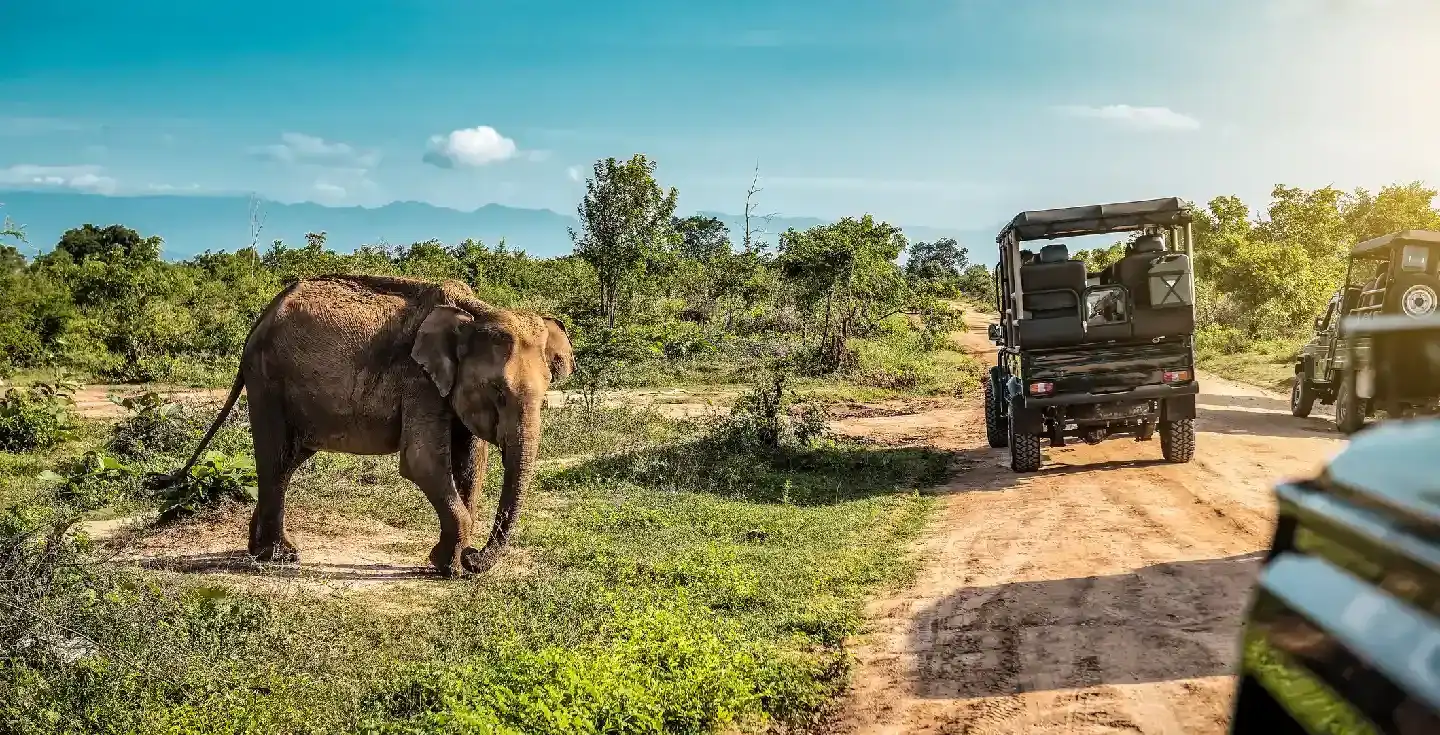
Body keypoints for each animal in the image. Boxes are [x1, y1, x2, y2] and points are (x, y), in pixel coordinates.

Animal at [167, 274, 575, 577]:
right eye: (498, 392)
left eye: (547, 390)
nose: (476, 557)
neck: (475, 311)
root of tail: (259, 320)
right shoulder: (419, 381)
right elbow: (422, 461)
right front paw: (450, 567)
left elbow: (472, 463)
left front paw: (453, 565)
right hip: (267, 381)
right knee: (275, 457)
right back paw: (275, 558)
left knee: (286, 462)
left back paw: (268, 553)